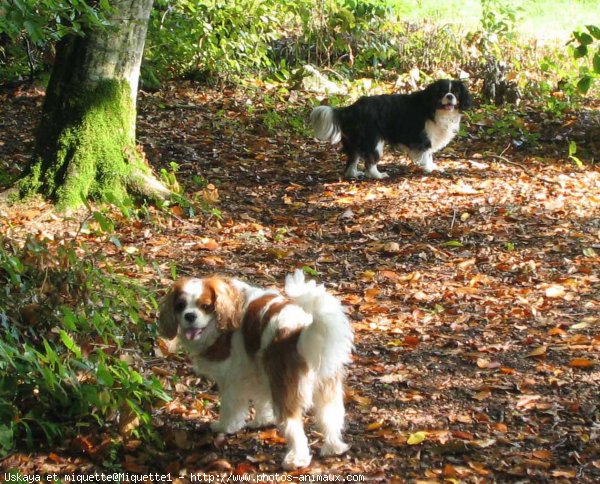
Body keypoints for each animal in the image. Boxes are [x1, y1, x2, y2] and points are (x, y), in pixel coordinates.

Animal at [157, 268, 354, 468]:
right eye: (180, 306)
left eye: (205, 306)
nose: (189, 316)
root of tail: (299, 332)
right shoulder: (257, 369)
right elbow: (261, 399)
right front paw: (262, 420)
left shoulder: (231, 378)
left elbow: (230, 406)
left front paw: (224, 426)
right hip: (325, 386)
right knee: (330, 416)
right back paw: (334, 447)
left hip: (284, 387)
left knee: (293, 426)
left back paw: (296, 459)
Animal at [312, 80, 472, 179]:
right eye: (442, 92)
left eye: (456, 93)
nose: (449, 96)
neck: (436, 108)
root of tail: (352, 107)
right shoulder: (424, 139)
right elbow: (427, 154)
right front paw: (429, 168)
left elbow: (430, 155)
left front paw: (432, 166)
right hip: (373, 141)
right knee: (370, 162)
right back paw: (377, 175)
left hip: (356, 141)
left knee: (352, 160)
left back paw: (354, 174)